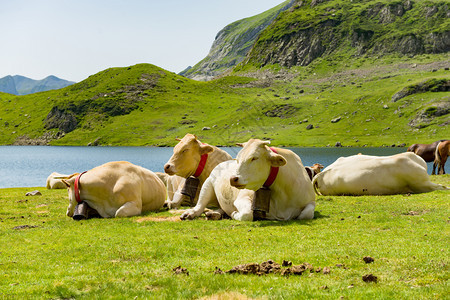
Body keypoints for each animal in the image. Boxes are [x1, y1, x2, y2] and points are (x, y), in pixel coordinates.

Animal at [180, 138, 316, 220]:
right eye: (238, 158)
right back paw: (190, 213)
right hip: (207, 185)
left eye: (254, 158)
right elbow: (247, 214)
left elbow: (306, 214)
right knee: (200, 205)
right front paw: (235, 214)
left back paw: (214, 214)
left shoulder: (311, 202)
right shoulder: (242, 198)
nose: (233, 178)